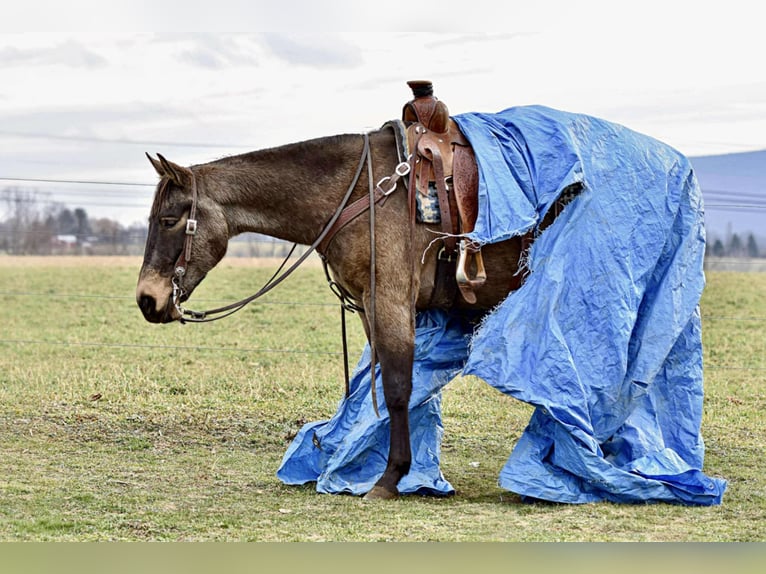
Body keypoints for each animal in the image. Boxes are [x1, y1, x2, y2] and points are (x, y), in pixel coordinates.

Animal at [136, 83, 552, 502]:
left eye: (168, 220)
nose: (147, 299)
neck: (361, 192)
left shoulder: (389, 300)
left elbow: (397, 387)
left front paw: (390, 477)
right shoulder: (369, 308)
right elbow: (380, 383)